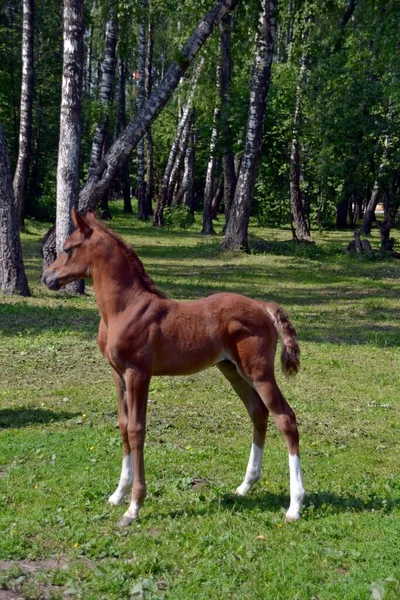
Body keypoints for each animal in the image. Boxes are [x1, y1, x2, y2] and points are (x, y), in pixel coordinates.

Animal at [42, 210, 304, 524]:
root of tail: (263, 306)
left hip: (259, 371)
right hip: (232, 370)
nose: (46, 277)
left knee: (285, 418)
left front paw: (134, 506)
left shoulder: (138, 373)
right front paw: (118, 494)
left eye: (68, 248)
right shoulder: (118, 374)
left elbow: (137, 430)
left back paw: (295, 505)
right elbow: (123, 425)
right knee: (258, 412)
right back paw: (245, 486)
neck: (124, 308)